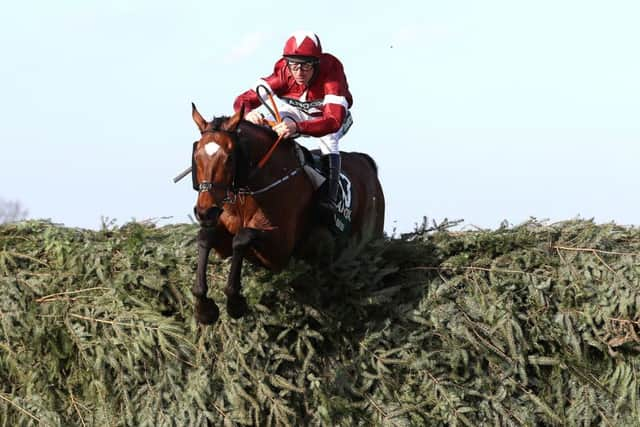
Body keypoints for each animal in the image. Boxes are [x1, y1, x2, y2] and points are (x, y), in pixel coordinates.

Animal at [188, 103, 382, 324]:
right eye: (196, 156)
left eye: (229, 158)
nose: (206, 211)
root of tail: (366, 164)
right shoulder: (223, 240)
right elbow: (206, 236)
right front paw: (203, 307)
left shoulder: (278, 252)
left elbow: (242, 237)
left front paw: (235, 302)